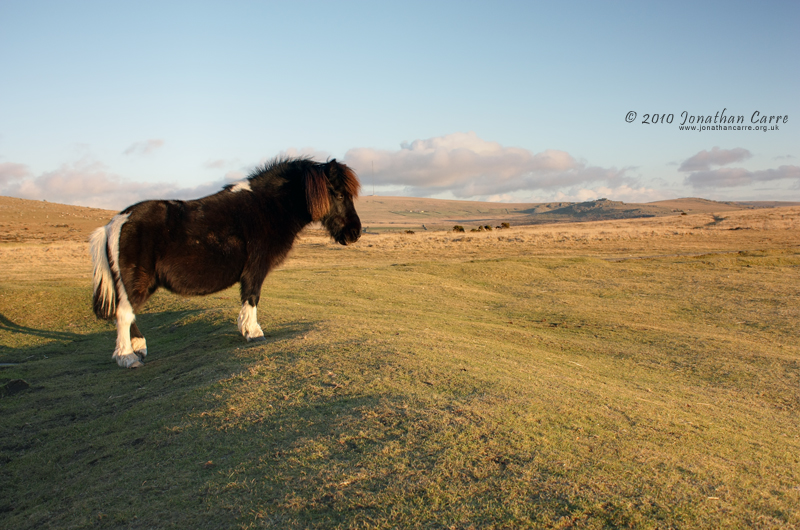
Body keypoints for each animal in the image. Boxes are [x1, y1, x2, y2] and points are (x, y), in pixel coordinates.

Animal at [89, 157, 360, 368]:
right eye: (338, 194)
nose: (355, 232)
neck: (268, 207)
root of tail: (115, 223)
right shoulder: (255, 269)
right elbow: (251, 298)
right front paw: (253, 333)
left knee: (128, 314)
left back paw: (138, 348)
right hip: (135, 281)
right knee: (124, 314)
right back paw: (127, 357)